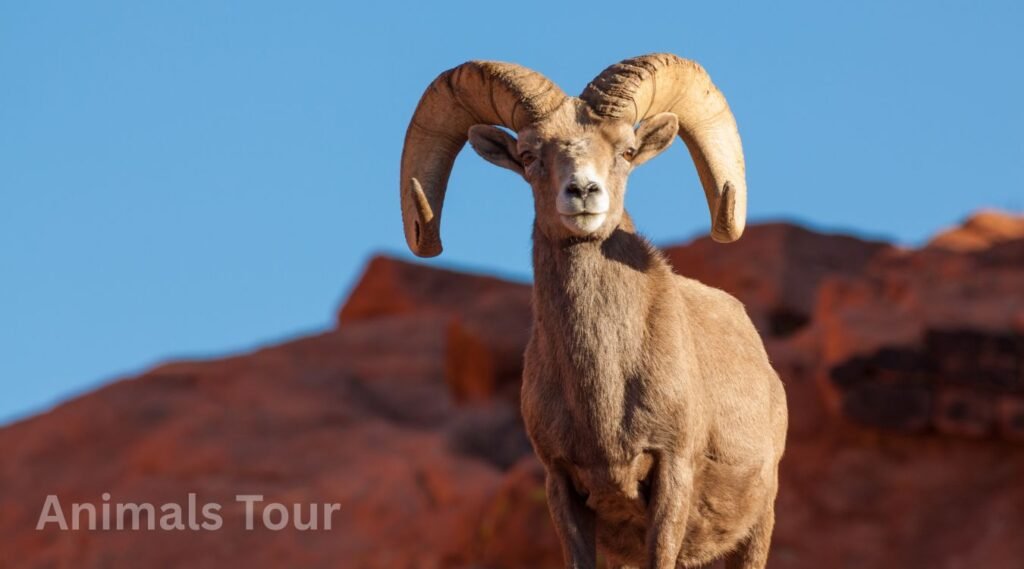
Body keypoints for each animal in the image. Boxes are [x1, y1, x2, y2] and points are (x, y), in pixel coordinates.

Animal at [398, 54, 788, 569]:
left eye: (626, 150)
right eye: (529, 156)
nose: (583, 191)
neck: (604, 392)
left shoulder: (671, 476)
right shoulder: (564, 487)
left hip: (755, 530)